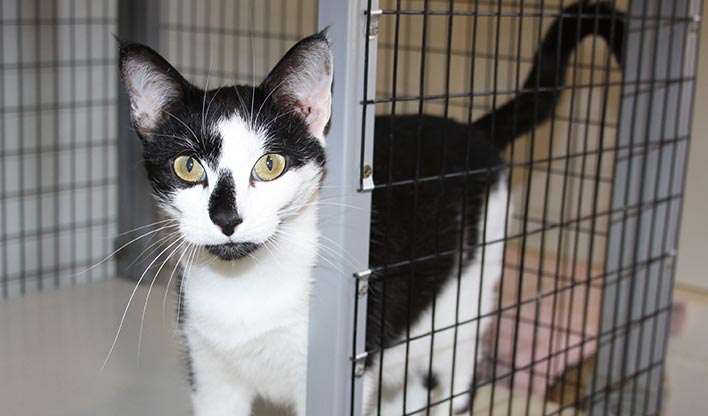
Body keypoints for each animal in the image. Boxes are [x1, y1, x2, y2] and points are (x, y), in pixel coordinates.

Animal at [117, 1, 624, 414]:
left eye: (270, 164)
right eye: (187, 166)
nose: (226, 218)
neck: (246, 286)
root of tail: (471, 130)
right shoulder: (209, 371)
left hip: (469, 293)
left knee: (457, 376)